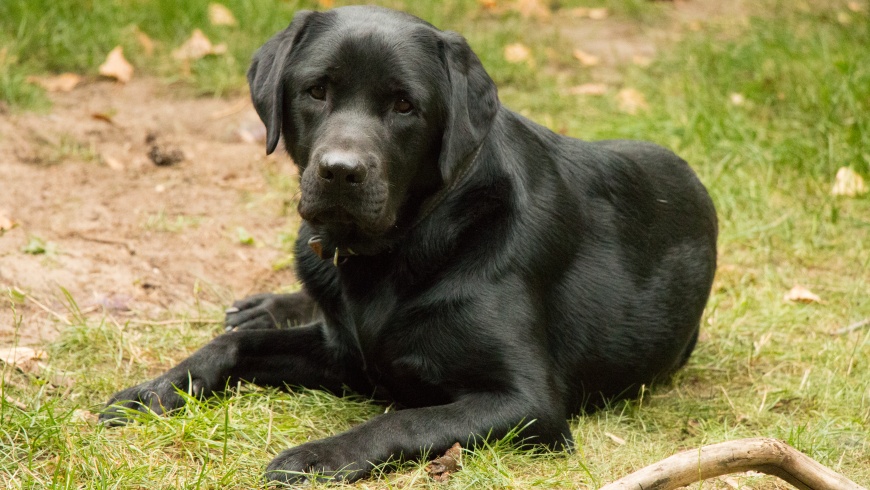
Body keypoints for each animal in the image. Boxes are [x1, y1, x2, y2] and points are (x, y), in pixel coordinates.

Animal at [102, 5, 720, 484]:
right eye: (316, 91)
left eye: (405, 105)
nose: (341, 171)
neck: (397, 251)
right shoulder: (346, 352)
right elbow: (231, 345)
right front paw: (152, 391)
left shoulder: (528, 403)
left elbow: (405, 418)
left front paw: (317, 457)